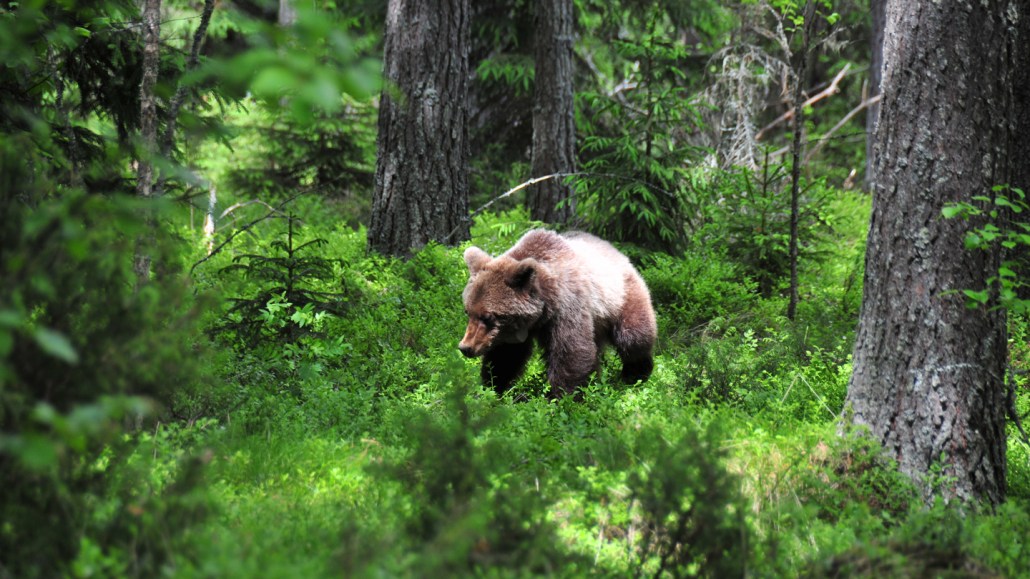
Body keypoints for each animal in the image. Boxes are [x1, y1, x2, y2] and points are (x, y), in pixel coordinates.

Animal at [458, 229, 657, 397]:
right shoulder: (513, 331)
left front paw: (562, 397)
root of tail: (618, 252)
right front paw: (492, 389)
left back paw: (636, 374)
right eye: (468, 311)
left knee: (633, 337)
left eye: (488, 316)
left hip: (621, 297)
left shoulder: (567, 307)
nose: (465, 348)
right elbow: (505, 357)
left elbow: (571, 352)